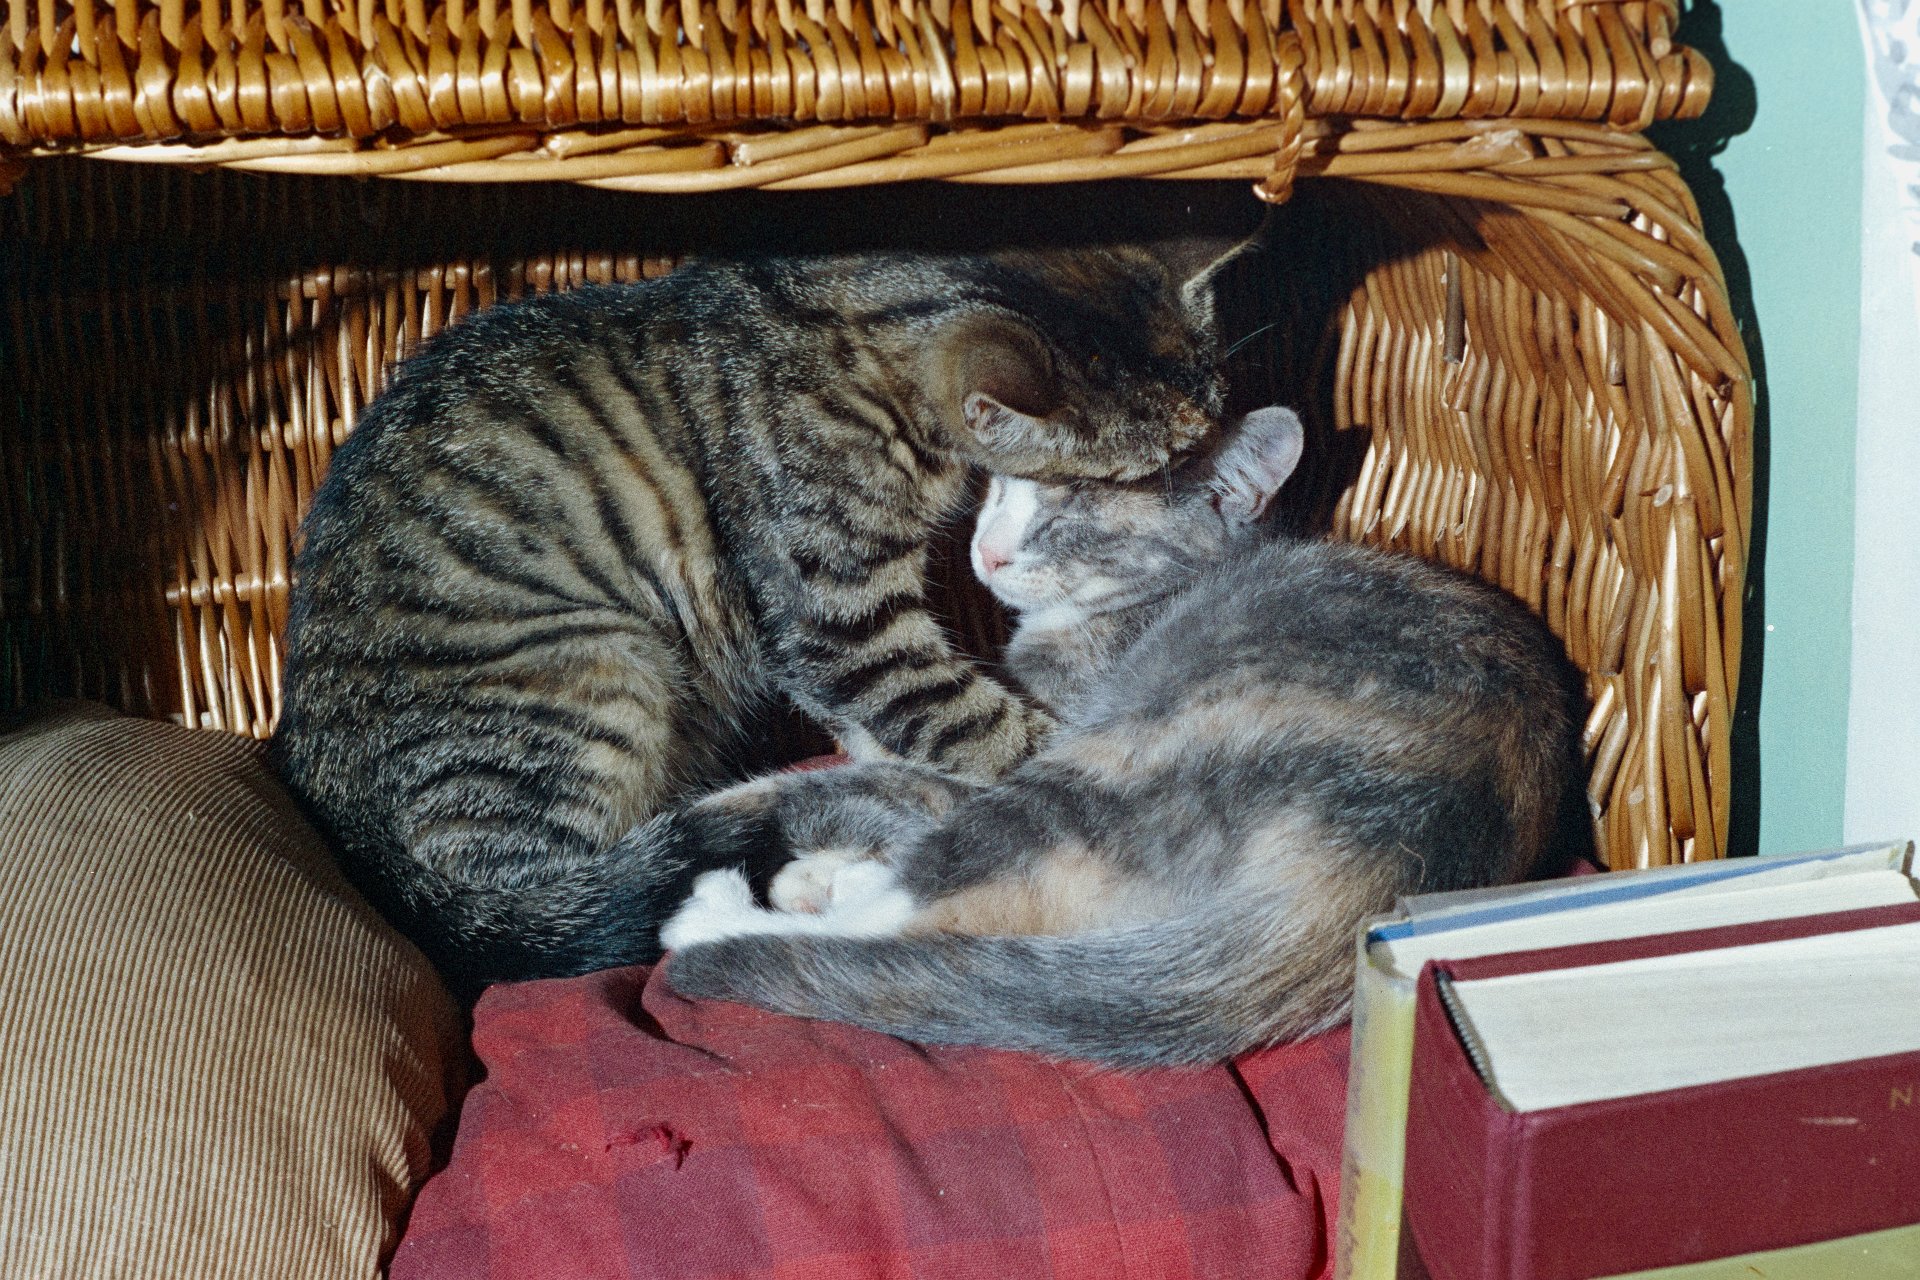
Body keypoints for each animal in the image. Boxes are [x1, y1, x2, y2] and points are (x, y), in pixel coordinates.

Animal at [272, 241, 1253, 993]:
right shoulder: (844, 617)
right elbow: (980, 721)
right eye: (1153, 461)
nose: (1215, 463)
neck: (854, 338)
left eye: (1209, 411)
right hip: (596, 671)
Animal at [657, 406, 1587, 1066]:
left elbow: (859, 775)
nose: (988, 553)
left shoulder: (1028, 737)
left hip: (1113, 760)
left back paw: (723, 916)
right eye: (999, 489)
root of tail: (1384, 867)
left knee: (911, 901)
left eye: (1071, 516)